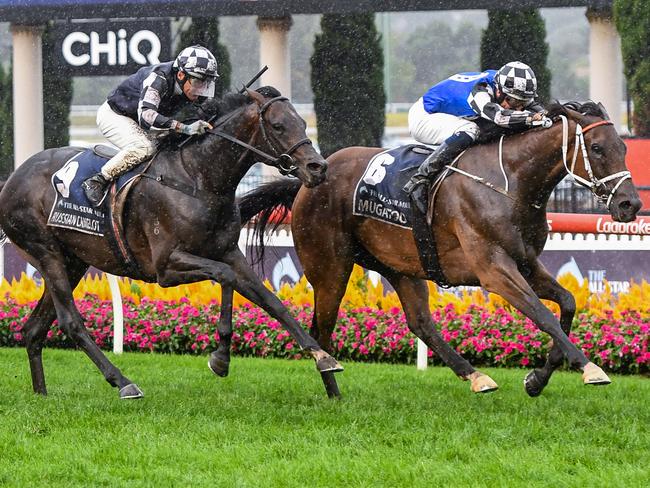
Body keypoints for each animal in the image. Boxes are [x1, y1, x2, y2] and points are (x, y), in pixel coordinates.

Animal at [0, 86, 344, 400]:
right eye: (277, 125)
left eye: (302, 122)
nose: (317, 168)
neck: (199, 180)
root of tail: (12, 180)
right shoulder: (166, 267)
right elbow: (225, 277)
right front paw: (221, 357)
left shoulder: (229, 252)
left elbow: (270, 300)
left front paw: (323, 357)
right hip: (48, 253)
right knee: (70, 322)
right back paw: (123, 382)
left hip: (73, 261)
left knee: (34, 329)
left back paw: (42, 394)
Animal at [228, 101, 636, 398]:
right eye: (597, 148)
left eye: (623, 147)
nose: (630, 204)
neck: (511, 182)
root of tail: (307, 182)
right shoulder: (494, 270)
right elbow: (543, 315)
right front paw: (590, 368)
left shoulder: (526, 263)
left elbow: (567, 304)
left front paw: (537, 380)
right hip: (330, 268)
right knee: (322, 328)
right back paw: (333, 391)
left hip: (400, 264)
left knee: (421, 323)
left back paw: (475, 376)